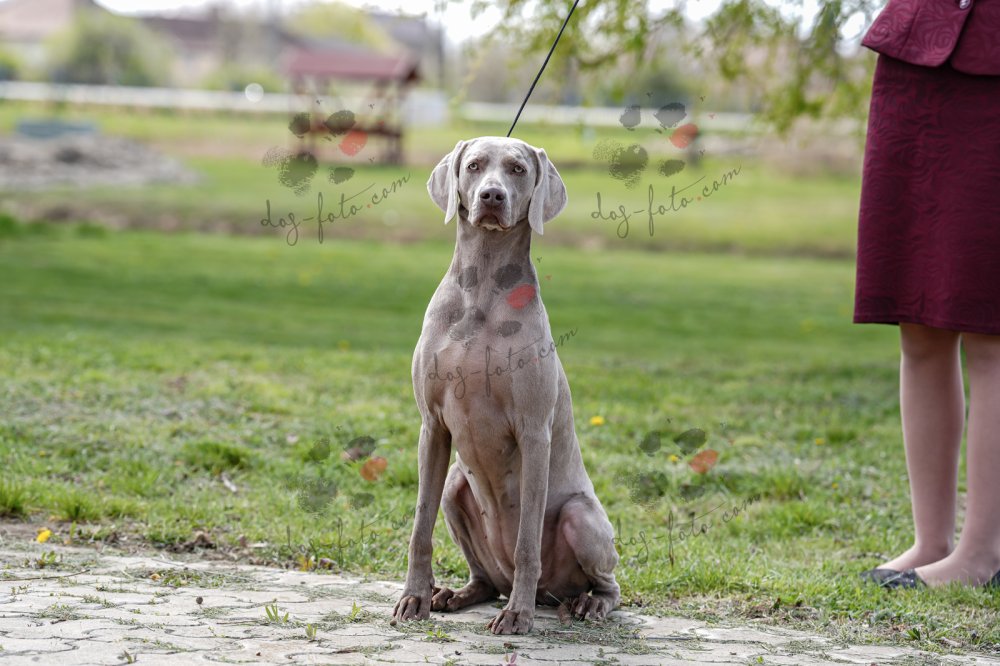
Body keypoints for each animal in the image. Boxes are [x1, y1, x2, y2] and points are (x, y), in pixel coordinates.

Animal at [390, 137, 620, 635]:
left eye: (517, 169)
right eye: (474, 166)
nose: (491, 196)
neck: (482, 287)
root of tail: (555, 594)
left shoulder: (534, 432)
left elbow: (527, 541)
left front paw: (518, 615)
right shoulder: (432, 426)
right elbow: (420, 526)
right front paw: (413, 597)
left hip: (581, 517)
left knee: (607, 584)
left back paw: (583, 603)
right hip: (457, 485)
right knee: (486, 578)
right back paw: (453, 594)